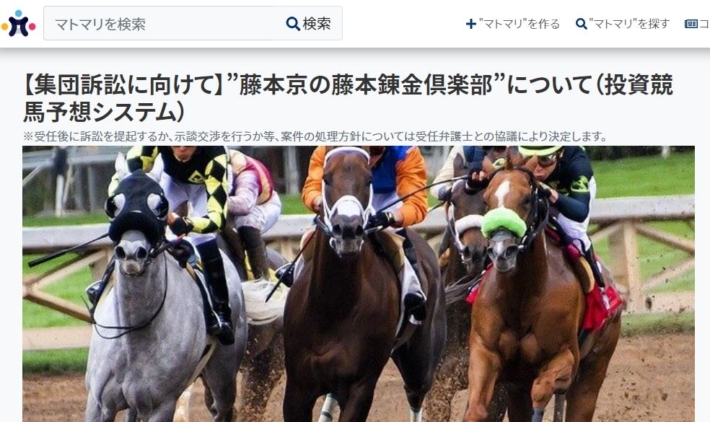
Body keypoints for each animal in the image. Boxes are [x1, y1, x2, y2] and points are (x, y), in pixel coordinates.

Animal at [84, 170, 249, 422]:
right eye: (115, 204)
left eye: (160, 207)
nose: (131, 253)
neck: (133, 335)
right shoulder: (98, 402)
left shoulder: (161, 406)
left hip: (224, 374)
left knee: (221, 407)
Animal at [282, 146, 447, 422]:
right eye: (326, 178)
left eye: (369, 179)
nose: (348, 230)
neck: (334, 306)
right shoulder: (297, 388)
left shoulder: (360, 387)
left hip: (419, 358)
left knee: (416, 391)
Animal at [463, 163, 622, 422]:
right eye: (486, 200)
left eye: (527, 199)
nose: (501, 251)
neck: (522, 294)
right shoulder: (485, 351)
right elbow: (476, 409)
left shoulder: (565, 358)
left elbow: (542, 389)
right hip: (517, 387)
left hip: (595, 367)